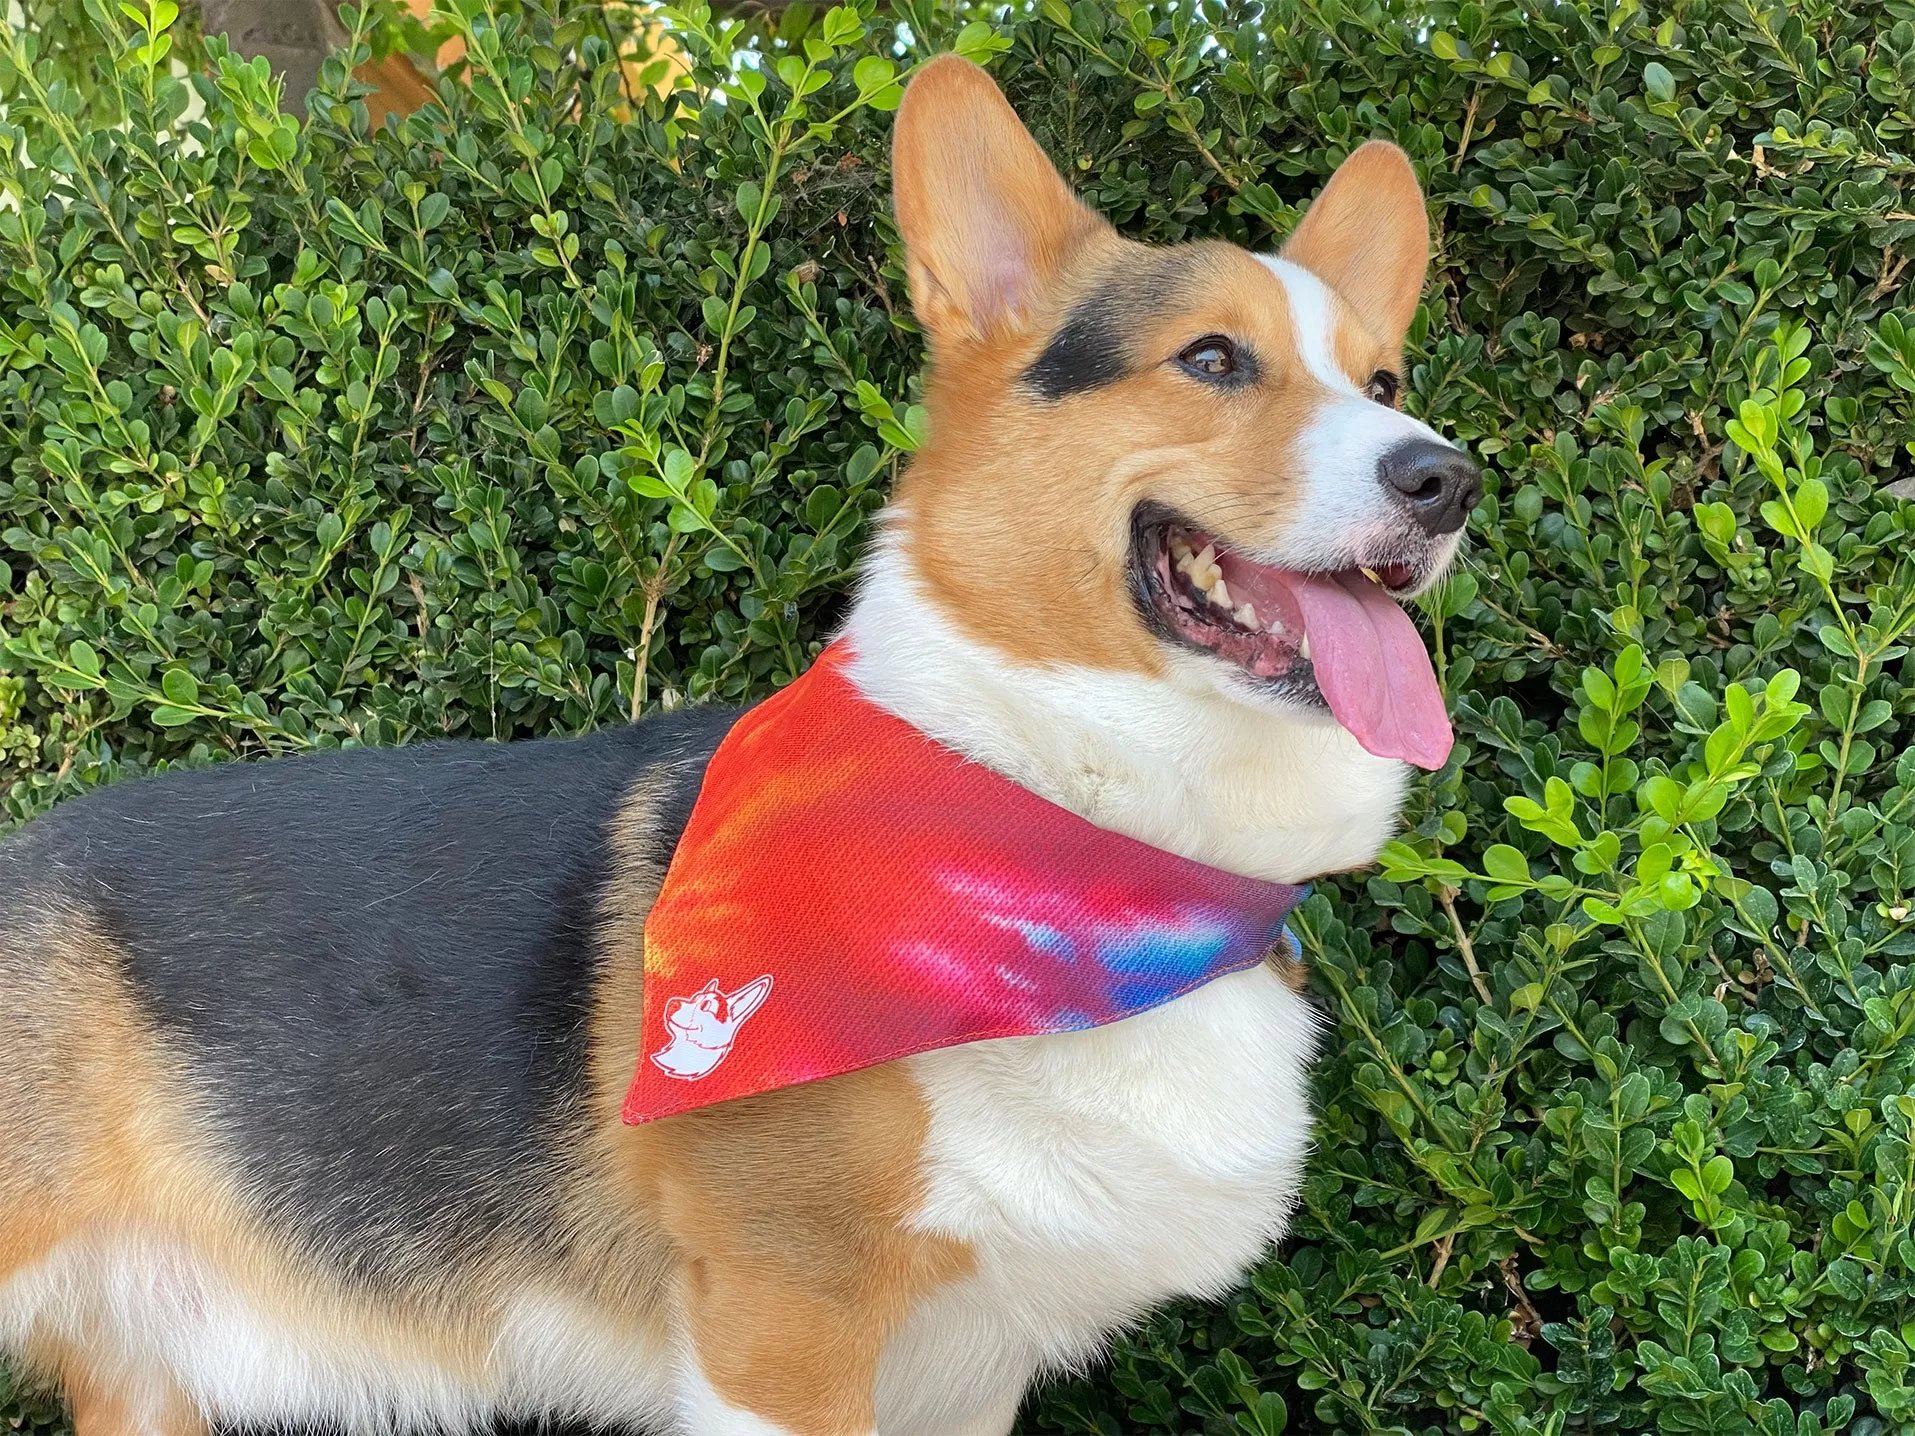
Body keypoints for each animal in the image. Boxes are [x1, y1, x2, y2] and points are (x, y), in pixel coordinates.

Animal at [0, 50, 1478, 1436]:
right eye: (1212, 358)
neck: (1091, 846)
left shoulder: (964, 1376)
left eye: (1386, 378)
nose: (1447, 477)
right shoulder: (783, 1325)